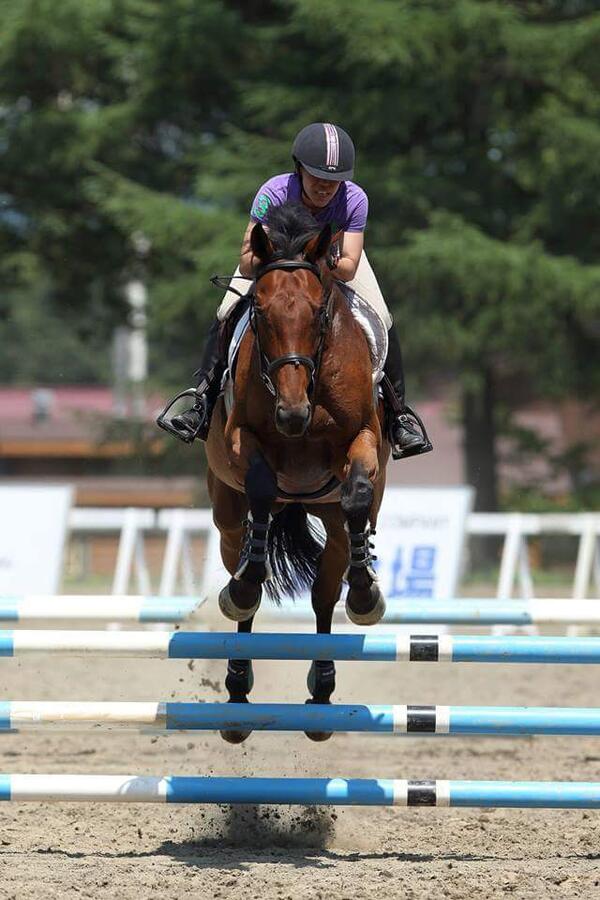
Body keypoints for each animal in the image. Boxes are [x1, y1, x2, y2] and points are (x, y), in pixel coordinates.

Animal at [204, 200, 392, 740]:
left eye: (319, 313)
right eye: (260, 313)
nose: (292, 414)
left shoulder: (363, 440)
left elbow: (357, 495)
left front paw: (366, 596)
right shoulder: (242, 439)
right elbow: (263, 490)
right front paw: (245, 587)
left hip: (331, 519)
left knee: (326, 591)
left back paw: (322, 692)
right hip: (225, 508)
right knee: (241, 551)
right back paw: (238, 688)